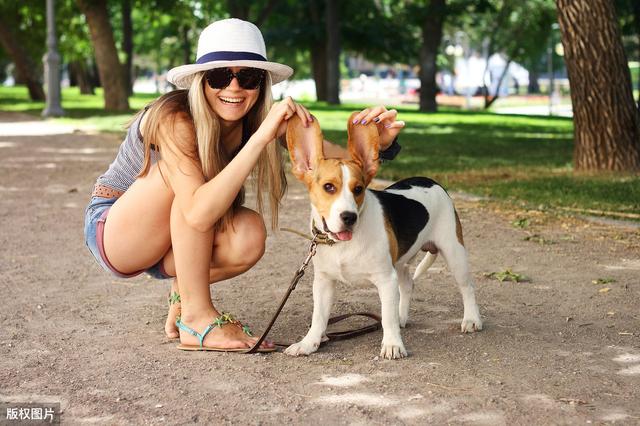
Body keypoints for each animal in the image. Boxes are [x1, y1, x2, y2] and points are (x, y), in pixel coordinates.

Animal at [284, 113, 480, 360]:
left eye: (358, 189)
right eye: (328, 187)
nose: (349, 217)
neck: (344, 244)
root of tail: (431, 181)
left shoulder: (386, 280)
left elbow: (386, 318)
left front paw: (392, 344)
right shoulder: (323, 281)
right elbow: (318, 317)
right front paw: (309, 343)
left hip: (454, 253)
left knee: (467, 287)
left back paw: (472, 319)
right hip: (401, 262)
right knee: (407, 286)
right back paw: (402, 317)